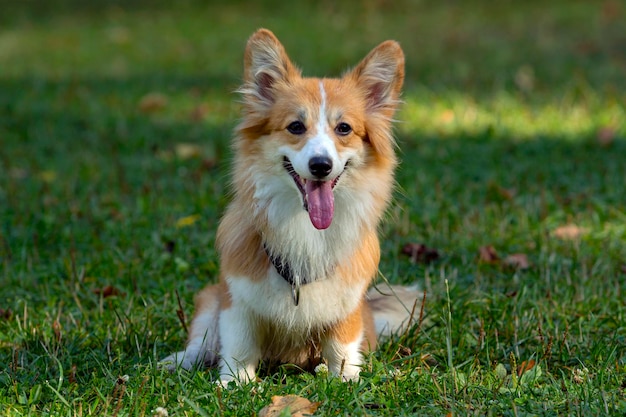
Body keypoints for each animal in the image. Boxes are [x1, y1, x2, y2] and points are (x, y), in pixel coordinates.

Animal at [160, 27, 420, 382]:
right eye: (295, 126)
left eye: (344, 129)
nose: (321, 165)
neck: (303, 225)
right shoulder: (237, 299)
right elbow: (238, 344)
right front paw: (235, 383)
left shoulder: (347, 302)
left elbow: (341, 347)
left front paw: (346, 380)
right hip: (210, 298)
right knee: (203, 341)